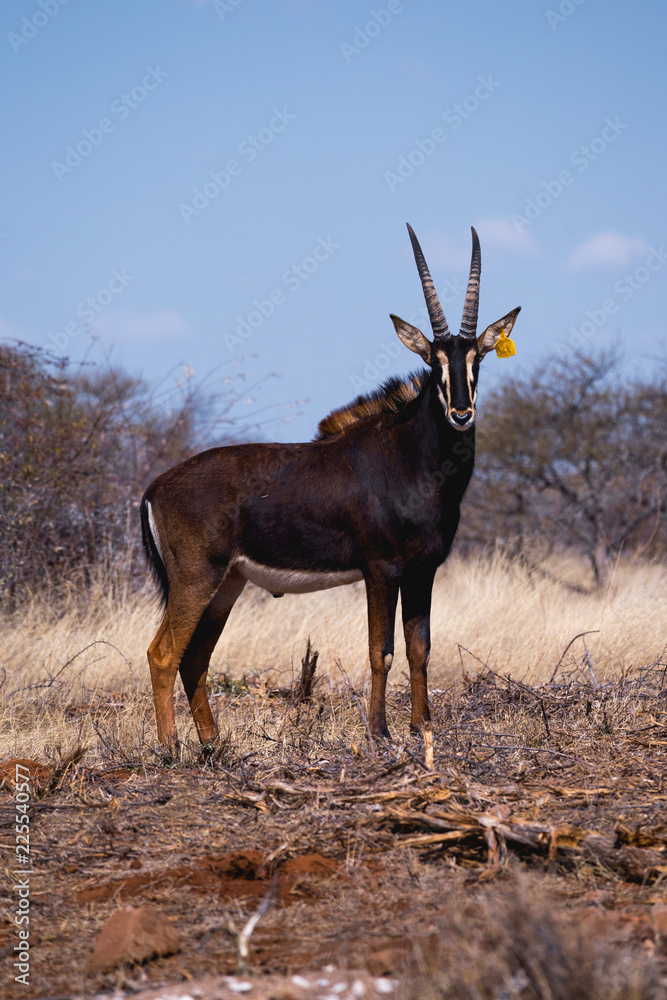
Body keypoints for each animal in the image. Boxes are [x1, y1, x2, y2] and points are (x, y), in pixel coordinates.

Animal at [141, 225, 520, 749]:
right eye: (433, 361)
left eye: (478, 358)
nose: (461, 413)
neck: (413, 458)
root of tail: (156, 487)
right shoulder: (382, 569)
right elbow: (381, 650)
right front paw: (379, 732)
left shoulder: (423, 570)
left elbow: (420, 649)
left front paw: (422, 727)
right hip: (195, 580)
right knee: (163, 654)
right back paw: (171, 750)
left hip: (226, 585)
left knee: (194, 657)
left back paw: (213, 745)